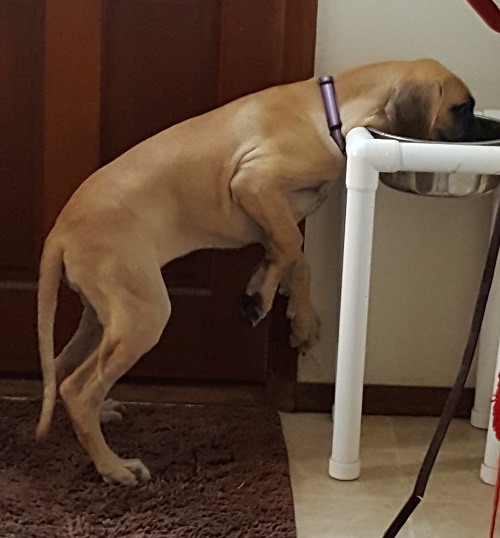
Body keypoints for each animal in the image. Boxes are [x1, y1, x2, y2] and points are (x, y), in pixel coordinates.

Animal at [37, 59, 490, 486]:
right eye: (462, 108)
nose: (481, 134)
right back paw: (114, 467)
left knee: (61, 370)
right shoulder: (254, 181)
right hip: (142, 314)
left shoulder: (273, 211)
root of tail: (60, 232)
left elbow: (296, 258)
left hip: (105, 315)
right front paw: (260, 297)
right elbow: (290, 246)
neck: (330, 110)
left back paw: (100, 418)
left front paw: (299, 319)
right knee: (78, 389)